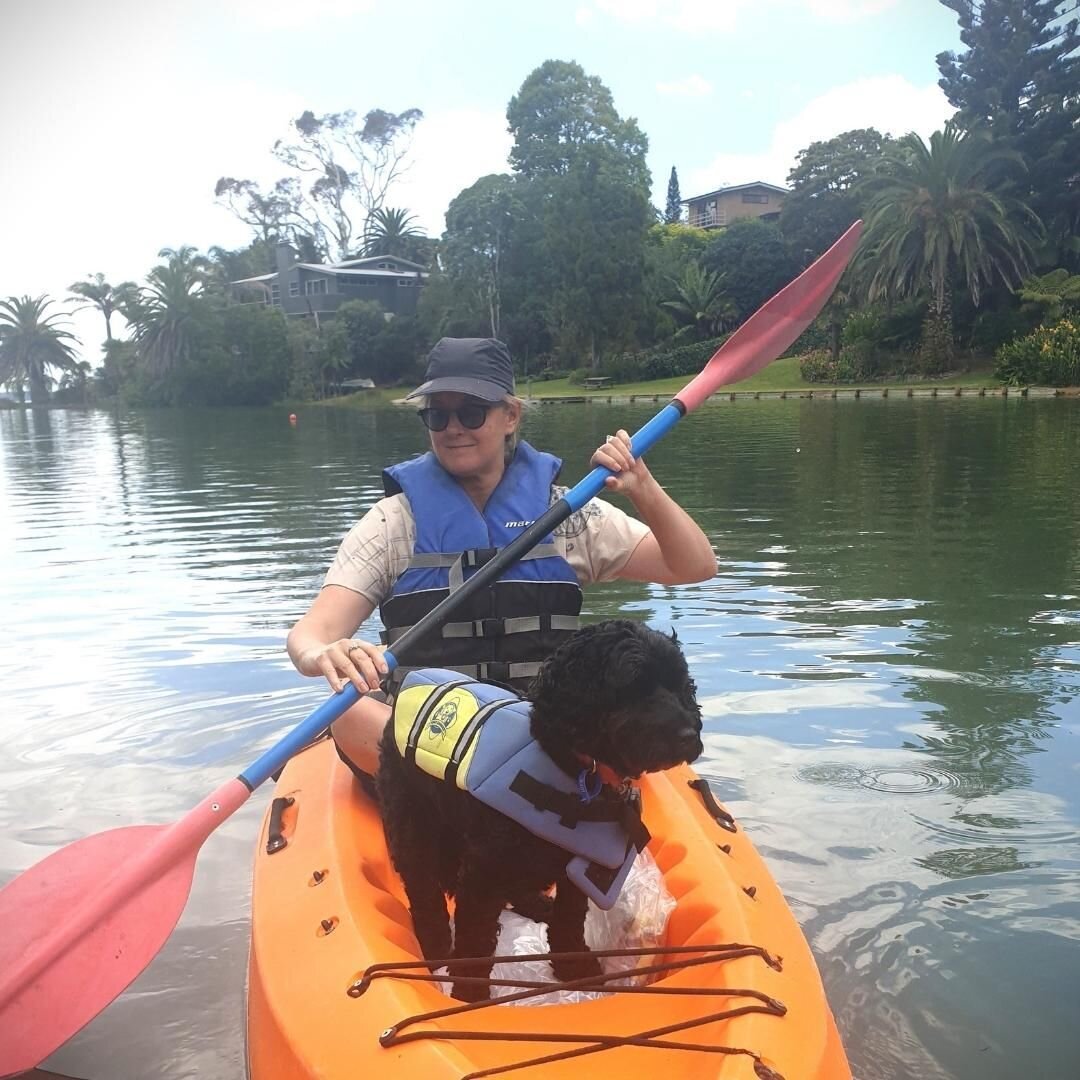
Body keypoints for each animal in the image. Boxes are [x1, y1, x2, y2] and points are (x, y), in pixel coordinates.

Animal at [375, 622, 704, 997]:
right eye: (634, 684)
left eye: (679, 683)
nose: (688, 734)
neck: (574, 769)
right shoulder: (483, 871)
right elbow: (475, 935)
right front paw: (469, 992)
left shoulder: (576, 870)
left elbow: (568, 922)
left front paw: (575, 968)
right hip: (413, 825)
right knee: (423, 891)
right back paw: (436, 947)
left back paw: (534, 903)